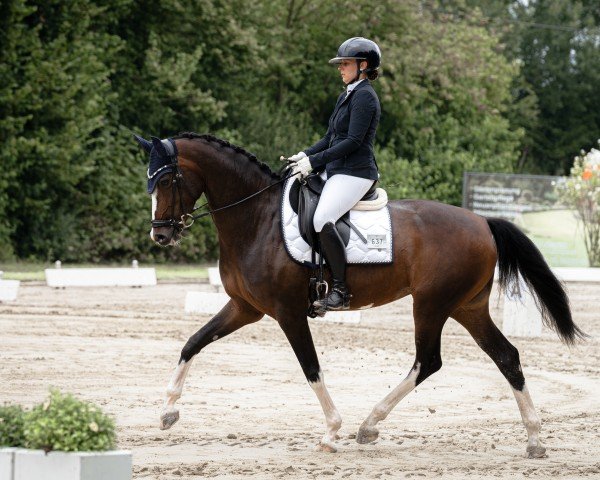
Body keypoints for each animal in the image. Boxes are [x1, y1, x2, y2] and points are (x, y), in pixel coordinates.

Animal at [134, 132, 584, 458]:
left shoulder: (287, 312)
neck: (256, 219)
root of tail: (483, 222)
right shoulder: (245, 307)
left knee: (428, 361)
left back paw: (369, 425)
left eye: (167, 179)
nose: (161, 235)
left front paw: (332, 432)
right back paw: (534, 439)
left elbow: (311, 368)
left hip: (432, 304)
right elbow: (193, 343)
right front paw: (168, 410)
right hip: (466, 307)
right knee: (506, 356)